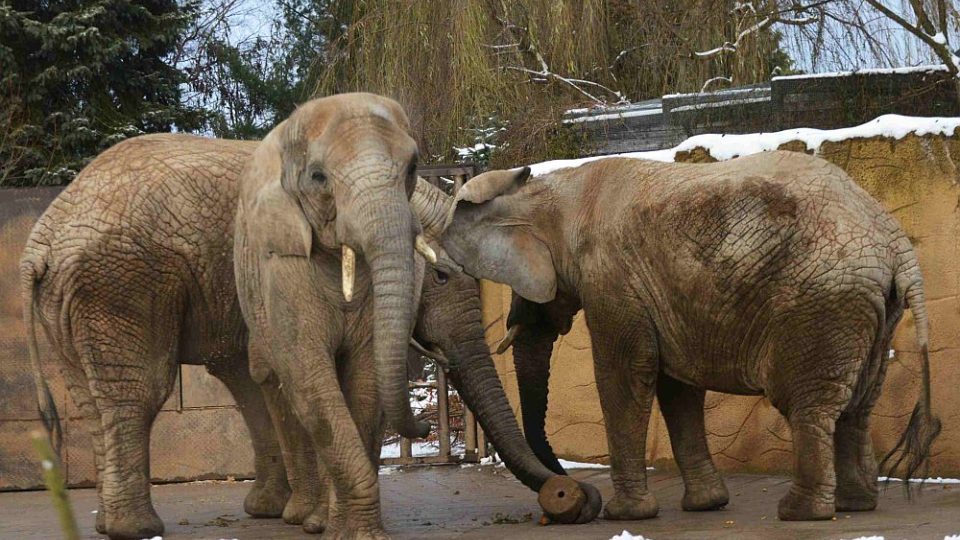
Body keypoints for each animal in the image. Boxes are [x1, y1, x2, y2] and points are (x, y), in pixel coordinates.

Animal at [18, 134, 288, 540]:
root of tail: (41, 238)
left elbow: (247, 370)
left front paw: (274, 511)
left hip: (65, 297)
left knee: (91, 401)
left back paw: (108, 524)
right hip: (122, 280)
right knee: (140, 393)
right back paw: (137, 529)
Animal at [430, 155, 944, 524]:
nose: (568, 491)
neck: (559, 188)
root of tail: (895, 241)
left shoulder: (612, 280)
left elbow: (624, 376)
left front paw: (625, 515)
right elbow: (677, 386)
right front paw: (707, 506)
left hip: (821, 304)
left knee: (809, 405)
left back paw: (800, 513)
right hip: (875, 307)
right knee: (858, 405)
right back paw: (855, 506)